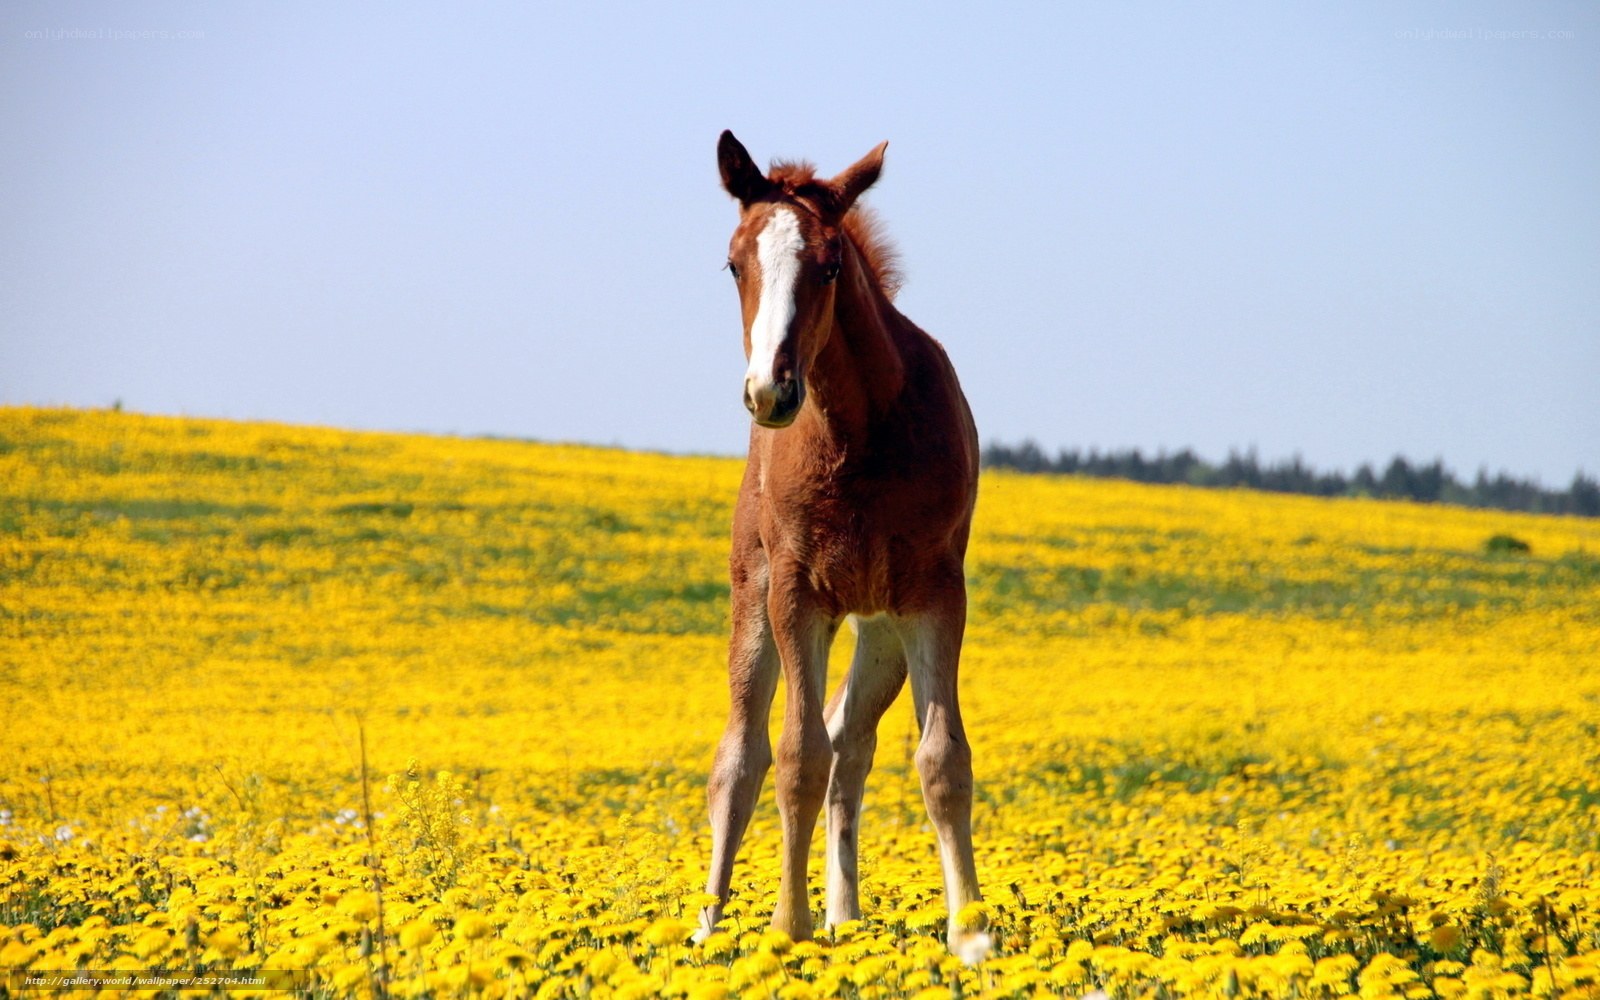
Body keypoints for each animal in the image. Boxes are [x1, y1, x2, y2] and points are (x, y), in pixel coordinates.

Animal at [698, 131, 988, 962]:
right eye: (735, 263)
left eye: (829, 266)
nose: (769, 391)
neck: (858, 436)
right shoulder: (798, 594)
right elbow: (794, 755)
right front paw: (785, 927)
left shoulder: (933, 595)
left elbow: (941, 759)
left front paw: (971, 934)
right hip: (755, 599)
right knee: (741, 755)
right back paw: (706, 926)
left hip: (879, 635)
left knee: (848, 742)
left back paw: (845, 919)